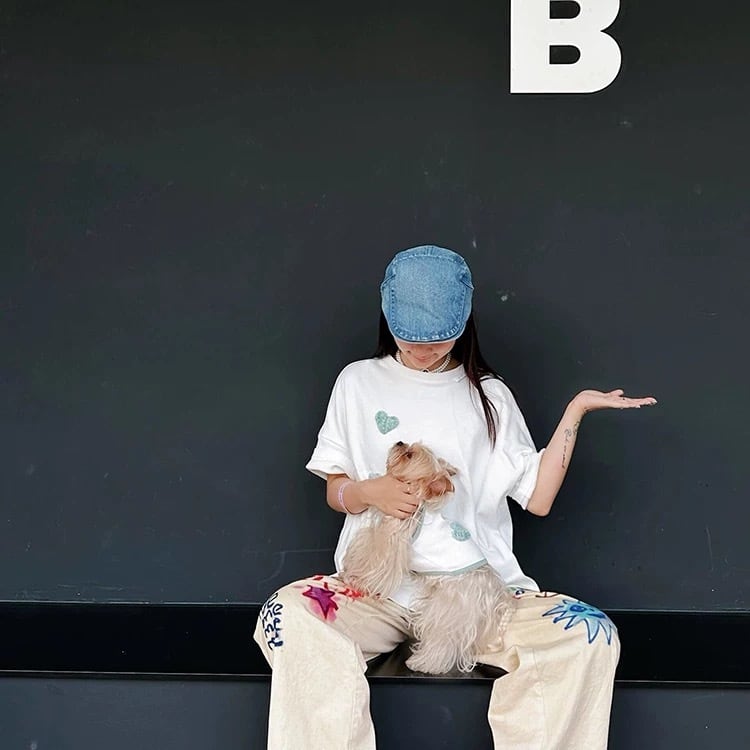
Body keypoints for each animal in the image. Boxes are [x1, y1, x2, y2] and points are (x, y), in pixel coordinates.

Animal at [340, 441, 514, 674]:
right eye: (408, 446)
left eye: (409, 455)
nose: (400, 442)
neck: (418, 501)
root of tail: (489, 594)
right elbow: (366, 543)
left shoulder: (390, 543)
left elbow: (373, 560)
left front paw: (354, 578)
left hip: (447, 609)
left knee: (443, 641)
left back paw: (422, 663)